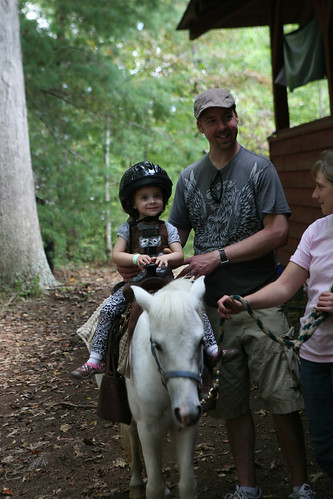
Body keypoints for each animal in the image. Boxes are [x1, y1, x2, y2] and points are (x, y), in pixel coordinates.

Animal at [126, 278, 206, 499]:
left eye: (201, 341)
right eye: (157, 345)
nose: (187, 411)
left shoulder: (186, 428)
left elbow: (188, 485)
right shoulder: (147, 428)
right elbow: (154, 488)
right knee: (131, 434)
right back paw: (136, 483)